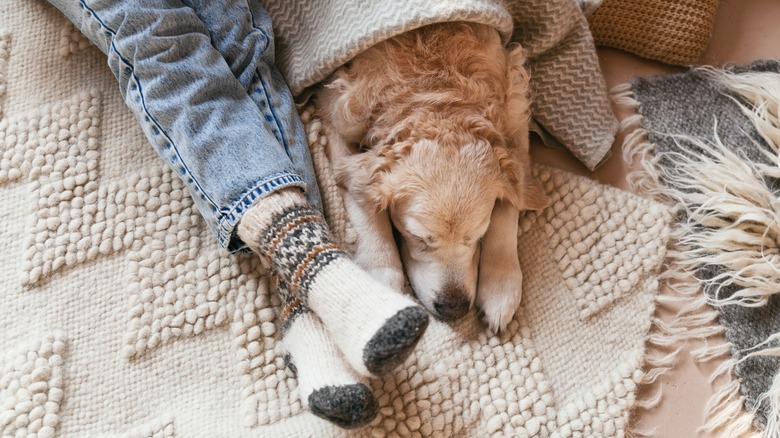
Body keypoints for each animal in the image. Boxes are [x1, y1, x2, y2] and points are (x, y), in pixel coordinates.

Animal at [312, 22, 548, 334]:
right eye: (418, 238)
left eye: (476, 235)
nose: (454, 309)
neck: (437, 93)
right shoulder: (335, 109)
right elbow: (365, 206)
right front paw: (381, 278)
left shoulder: (514, 105)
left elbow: (510, 203)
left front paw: (500, 286)